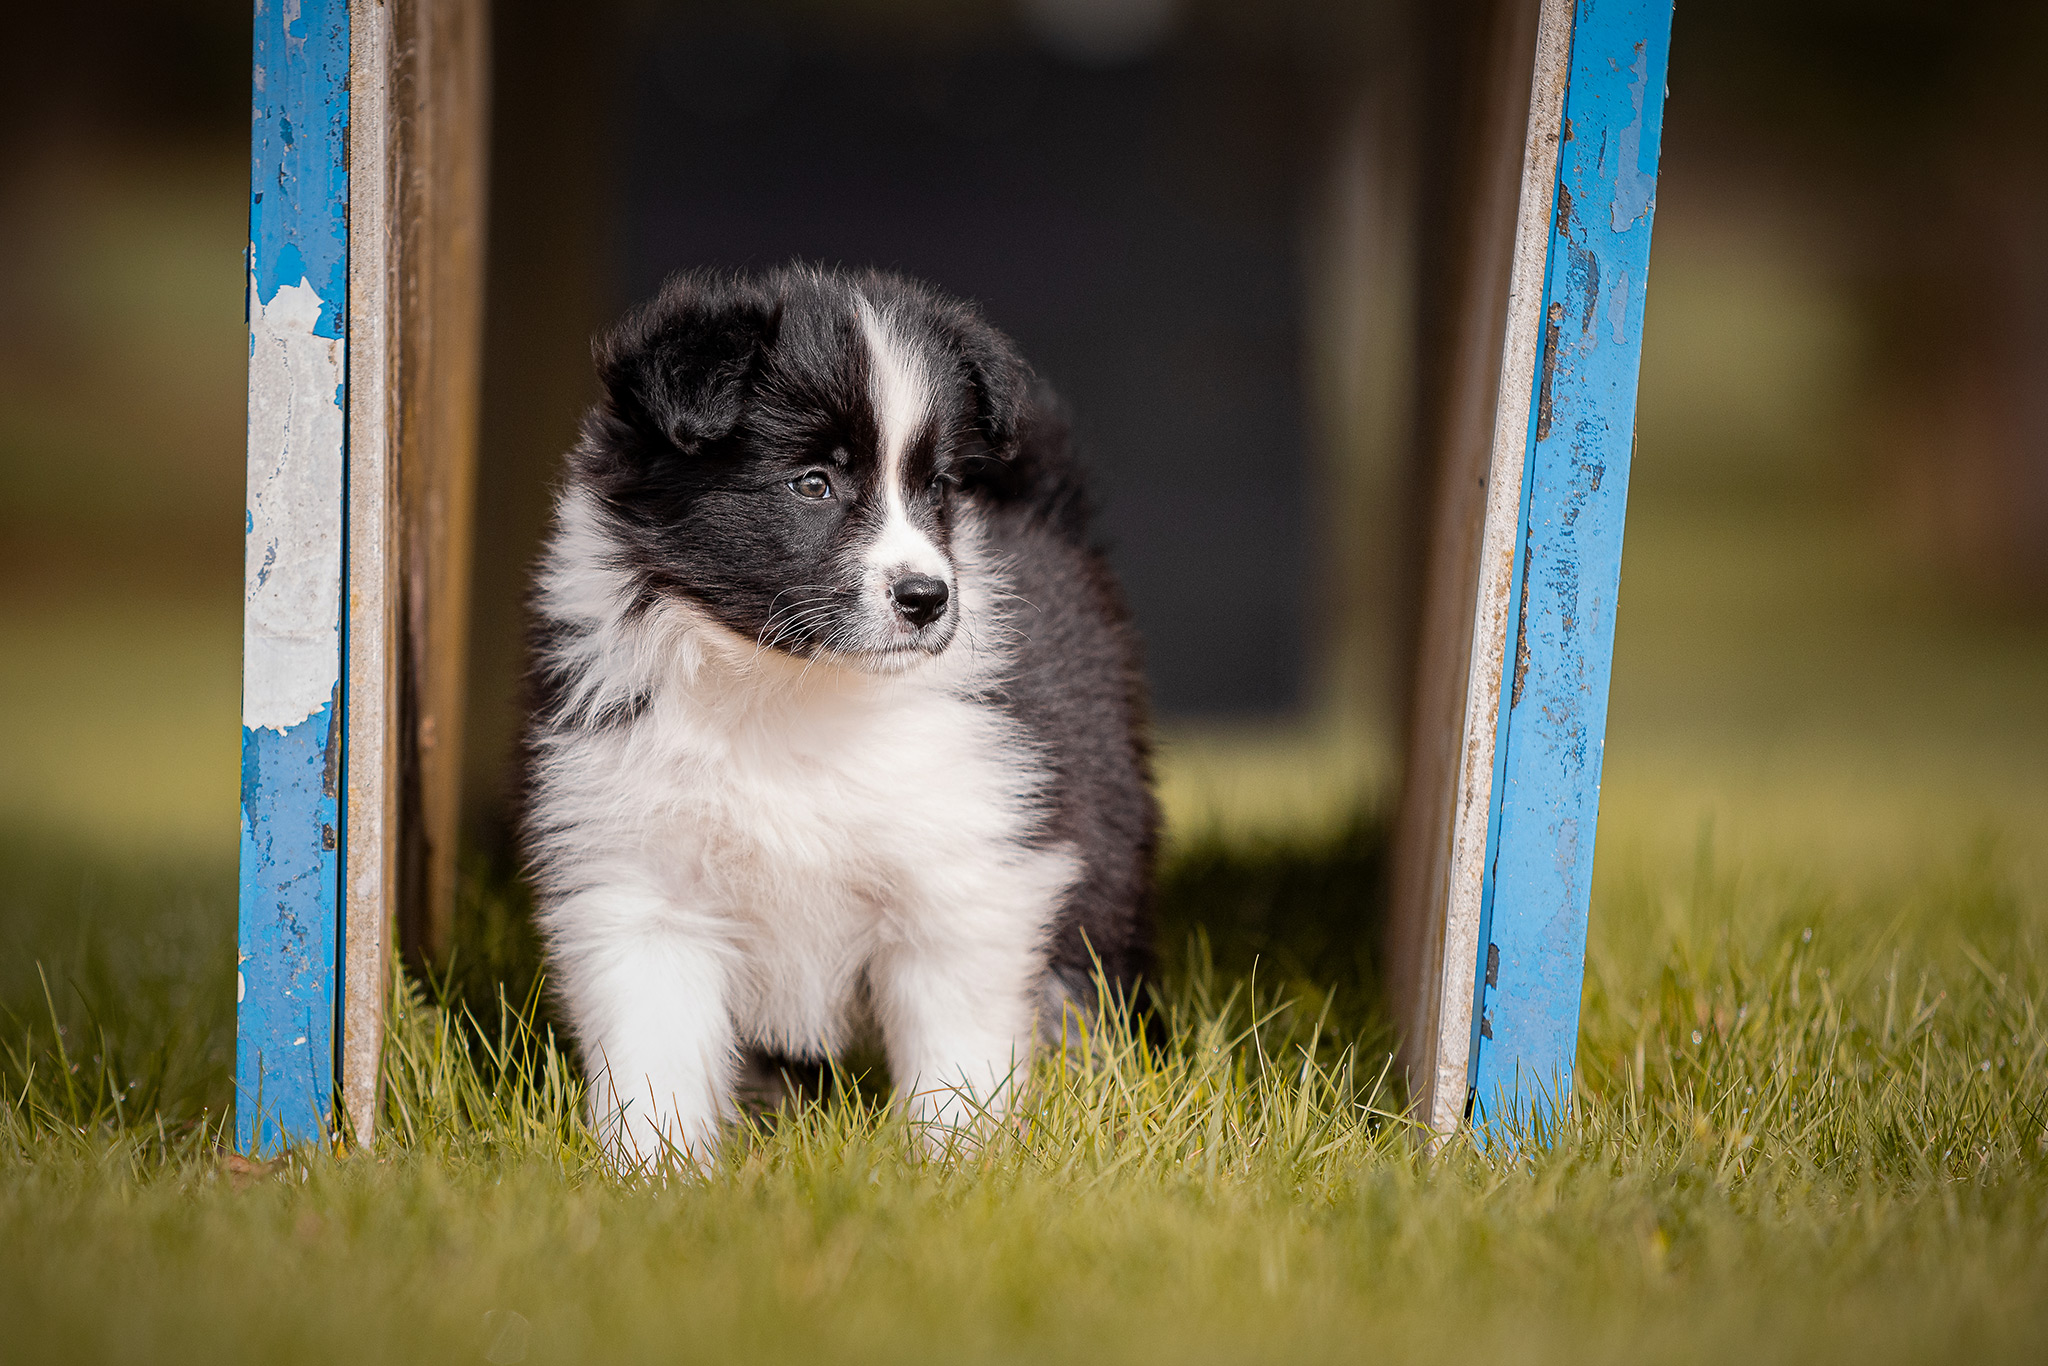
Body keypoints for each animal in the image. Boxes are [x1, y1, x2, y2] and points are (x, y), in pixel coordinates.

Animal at [520, 266, 1163, 1179]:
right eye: (813, 483)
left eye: (935, 487)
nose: (928, 599)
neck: (789, 689)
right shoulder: (641, 884)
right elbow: (655, 1050)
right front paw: (656, 1175)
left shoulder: (964, 871)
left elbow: (955, 1050)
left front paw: (956, 1167)